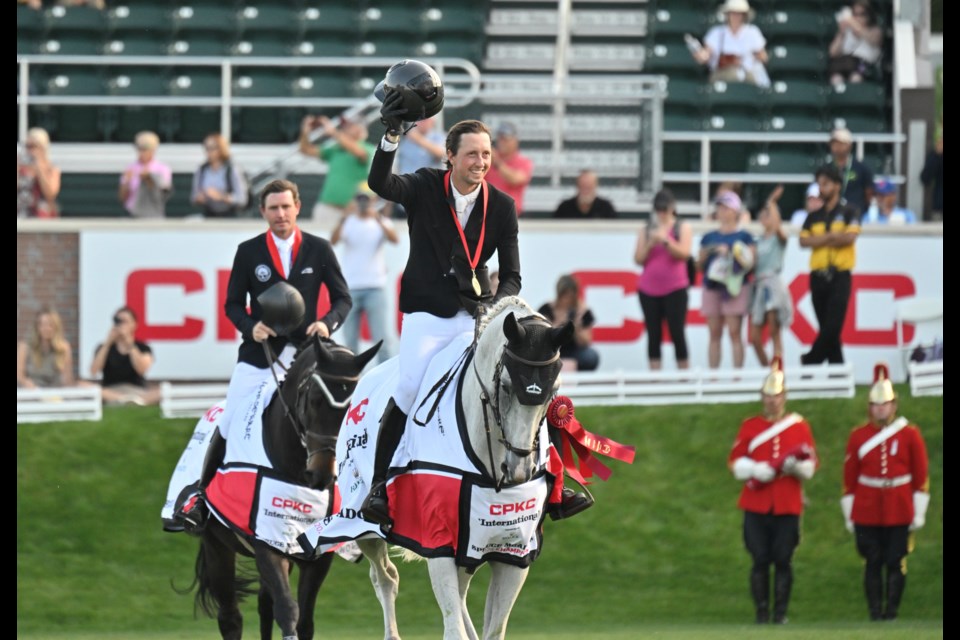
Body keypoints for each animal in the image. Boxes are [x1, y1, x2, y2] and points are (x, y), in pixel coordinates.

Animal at [189, 338, 380, 636]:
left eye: (355, 409)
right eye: (313, 400)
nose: (321, 474)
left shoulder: (315, 553)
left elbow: (305, 620)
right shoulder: (266, 543)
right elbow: (288, 609)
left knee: (264, 604)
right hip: (217, 547)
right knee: (230, 616)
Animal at [356, 298, 572, 640]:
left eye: (553, 392)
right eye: (506, 386)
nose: (519, 469)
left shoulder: (514, 550)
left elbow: (492, 629)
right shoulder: (438, 539)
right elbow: (452, 625)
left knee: (458, 591)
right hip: (364, 530)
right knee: (385, 579)